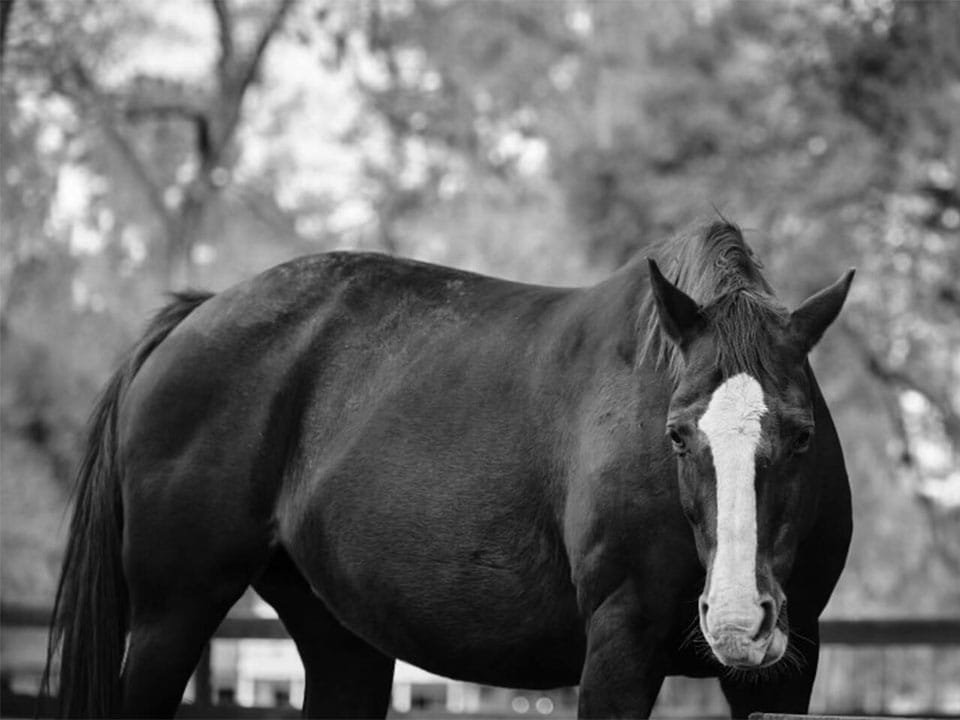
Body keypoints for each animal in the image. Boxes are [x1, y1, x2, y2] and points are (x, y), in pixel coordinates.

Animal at [43, 220, 853, 719]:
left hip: (341, 642)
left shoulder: (784, 673)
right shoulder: (619, 654)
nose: (741, 620)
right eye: (679, 436)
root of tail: (196, 315)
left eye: (802, 435)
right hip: (170, 616)